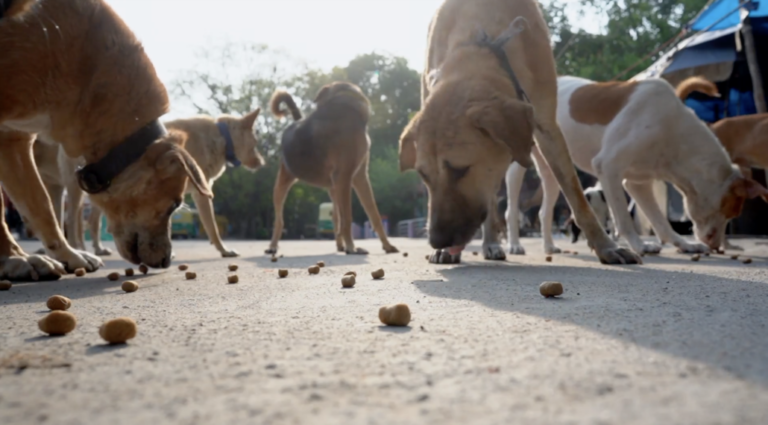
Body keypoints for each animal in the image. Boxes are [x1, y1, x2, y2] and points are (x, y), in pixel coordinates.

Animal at [0, 0, 210, 282]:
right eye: (174, 205)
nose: (167, 261)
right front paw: (13, 258)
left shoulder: (13, 139)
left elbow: (41, 206)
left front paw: (65, 255)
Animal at [268, 83, 400, 255]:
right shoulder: (345, 176)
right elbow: (348, 218)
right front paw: (352, 247)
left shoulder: (360, 176)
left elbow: (374, 214)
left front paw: (387, 245)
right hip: (283, 185)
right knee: (279, 221)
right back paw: (272, 246)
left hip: (333, 188)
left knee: (336, 218)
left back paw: (340, 245)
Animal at [400, 0, 640, 264]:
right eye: (423, 175)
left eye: (460, 169)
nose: (437, 241)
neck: (479, 39)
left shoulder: (548, 126)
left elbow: (577, 198)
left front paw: (606, 246)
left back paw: (492, 242)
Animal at [504, 74, 768, 256]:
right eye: (732, 211)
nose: (715, 246)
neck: (673, 129)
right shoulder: (608, 167)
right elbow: (623, 218)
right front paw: (638, 244)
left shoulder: (638, 183)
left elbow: (660, 221)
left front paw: (683, 244)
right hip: (518, 167)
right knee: (511, 209)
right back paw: (514, 245)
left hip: (552, 167)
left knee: (544, 210)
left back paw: (549, 246)